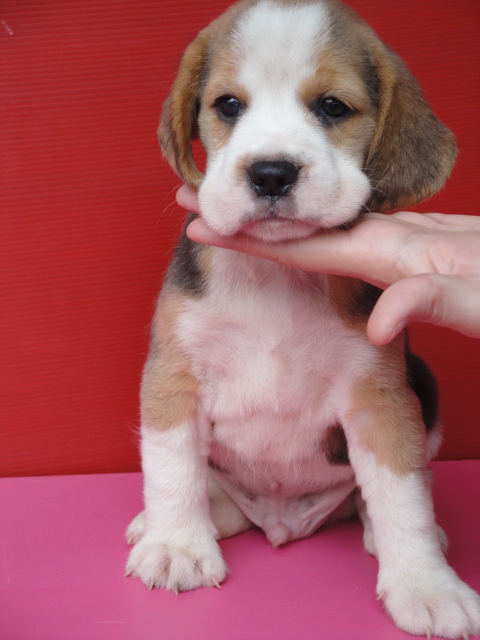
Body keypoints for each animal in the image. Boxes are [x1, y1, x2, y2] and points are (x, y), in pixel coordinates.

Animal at [125, 1, 480, 637]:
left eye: (332, 107)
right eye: (228, 105)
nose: (271, 173)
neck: (276, 276)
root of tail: (281, 520)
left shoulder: (380, 397)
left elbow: (403, 497)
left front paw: (427, 584)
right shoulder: (173, 378)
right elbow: (171, 469)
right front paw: (176, 546)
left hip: (426, 387)